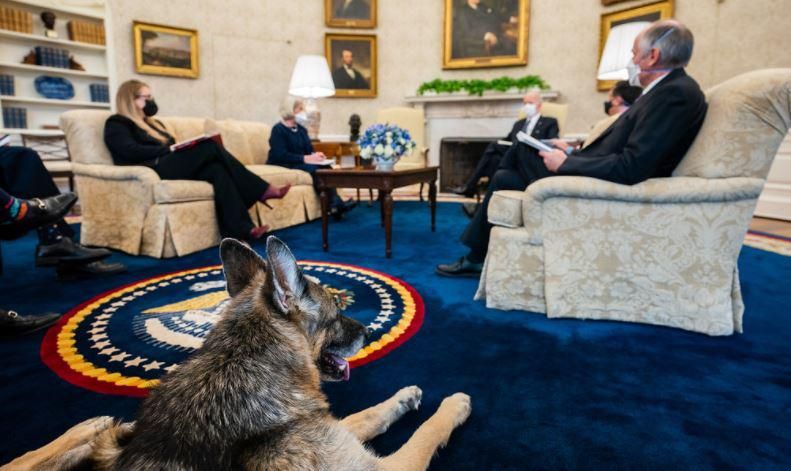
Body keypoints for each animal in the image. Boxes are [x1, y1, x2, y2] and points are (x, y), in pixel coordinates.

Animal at [4, 238, 470, 470]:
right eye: (337, 313)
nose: (369, 330)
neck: (243, 362)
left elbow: (367, 415)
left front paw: (404, 398)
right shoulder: (384, 467)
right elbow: (426, 432)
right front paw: (453, 406)